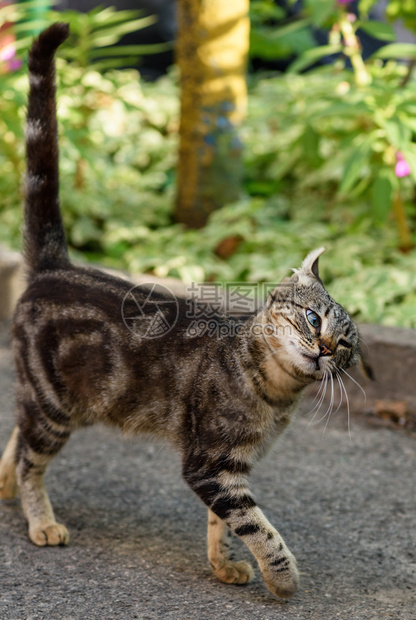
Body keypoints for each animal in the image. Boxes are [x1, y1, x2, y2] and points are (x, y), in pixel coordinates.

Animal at [0, 25, 372, 600]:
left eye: (347, 346)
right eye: (314, 320)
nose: (326, 348)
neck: (273, 394)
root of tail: (56, 265)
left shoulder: (230, 467)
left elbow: (226, 525)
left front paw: (224, 566)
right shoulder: (209, 464)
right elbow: (258, 526)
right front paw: (283, 578)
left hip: (55, 401)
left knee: (17, 436)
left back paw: (4, 488)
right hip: (55, 405)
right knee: (29, 458)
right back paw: (40, 520)